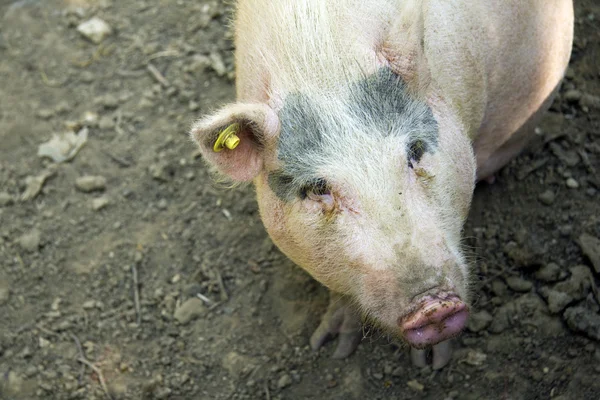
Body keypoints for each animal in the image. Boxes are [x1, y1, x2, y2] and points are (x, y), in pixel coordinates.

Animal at [190, 0, 576, 368]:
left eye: (415, 150)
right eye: (317, 189)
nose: (433, 306)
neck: (321, 58)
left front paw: (432, 364)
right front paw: (333, 347)